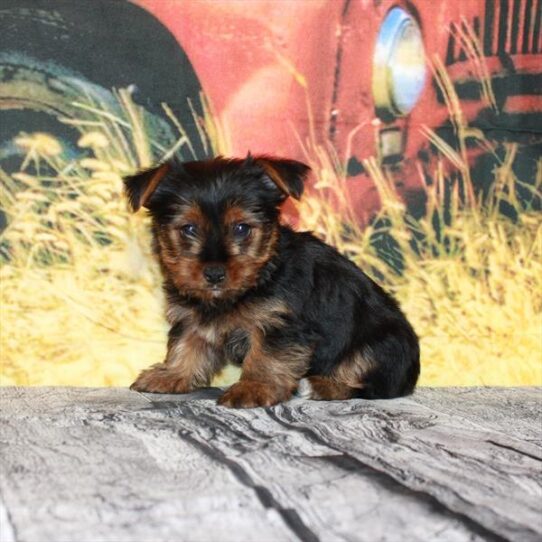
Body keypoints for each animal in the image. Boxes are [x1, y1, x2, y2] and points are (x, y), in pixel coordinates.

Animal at [123, 153, 420, 408]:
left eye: (241, 228)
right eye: (189, 229)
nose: (215, 273)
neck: (258, 276)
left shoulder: (280, 323)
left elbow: (267, 356)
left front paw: (253, 387)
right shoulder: (192, 315)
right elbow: (187, 343)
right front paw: (171, 374)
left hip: (381, 346)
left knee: (369, 386)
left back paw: (320, 385)